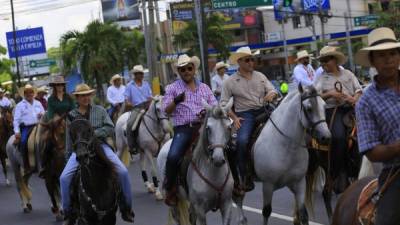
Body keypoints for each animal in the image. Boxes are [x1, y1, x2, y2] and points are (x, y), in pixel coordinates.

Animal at [233, 85, 330, 225]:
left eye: (324, 106)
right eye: (309, 108)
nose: (326, 137)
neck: (286, 146)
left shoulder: (299, 183)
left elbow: (303, 214)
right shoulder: (268, 185)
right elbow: (266, 212)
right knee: (237, 197)